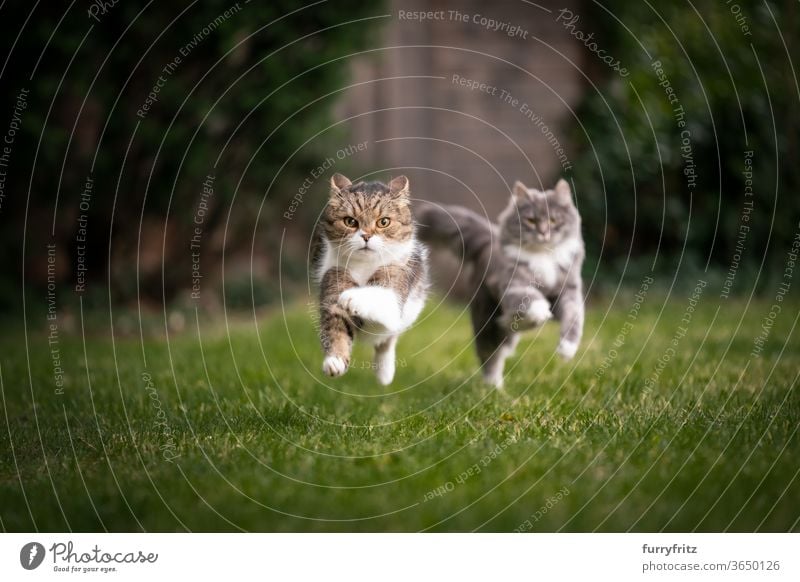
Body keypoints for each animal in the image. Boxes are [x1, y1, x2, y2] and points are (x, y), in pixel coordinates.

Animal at [310, 173, 428, 386]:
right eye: (350, 221)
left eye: (384, 222)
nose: (366, 236)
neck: (364, 266)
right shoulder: (332, 279)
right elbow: (335, 328)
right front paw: (335, 360)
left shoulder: (394, 290)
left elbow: (377, 297)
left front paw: (352, 297)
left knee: (388, 339)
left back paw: (384, 373)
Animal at [418, 178, 580, 388]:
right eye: (531, 220)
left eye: (553, 220)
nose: (543, 233)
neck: (542, 256)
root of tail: (490, 237)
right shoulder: (513, 285)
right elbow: (532, 300)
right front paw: (541, 312)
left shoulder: (569, 291)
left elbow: (573, 319)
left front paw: (567, 349)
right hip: (485, 320)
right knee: (490, 356)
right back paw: (493, 387)